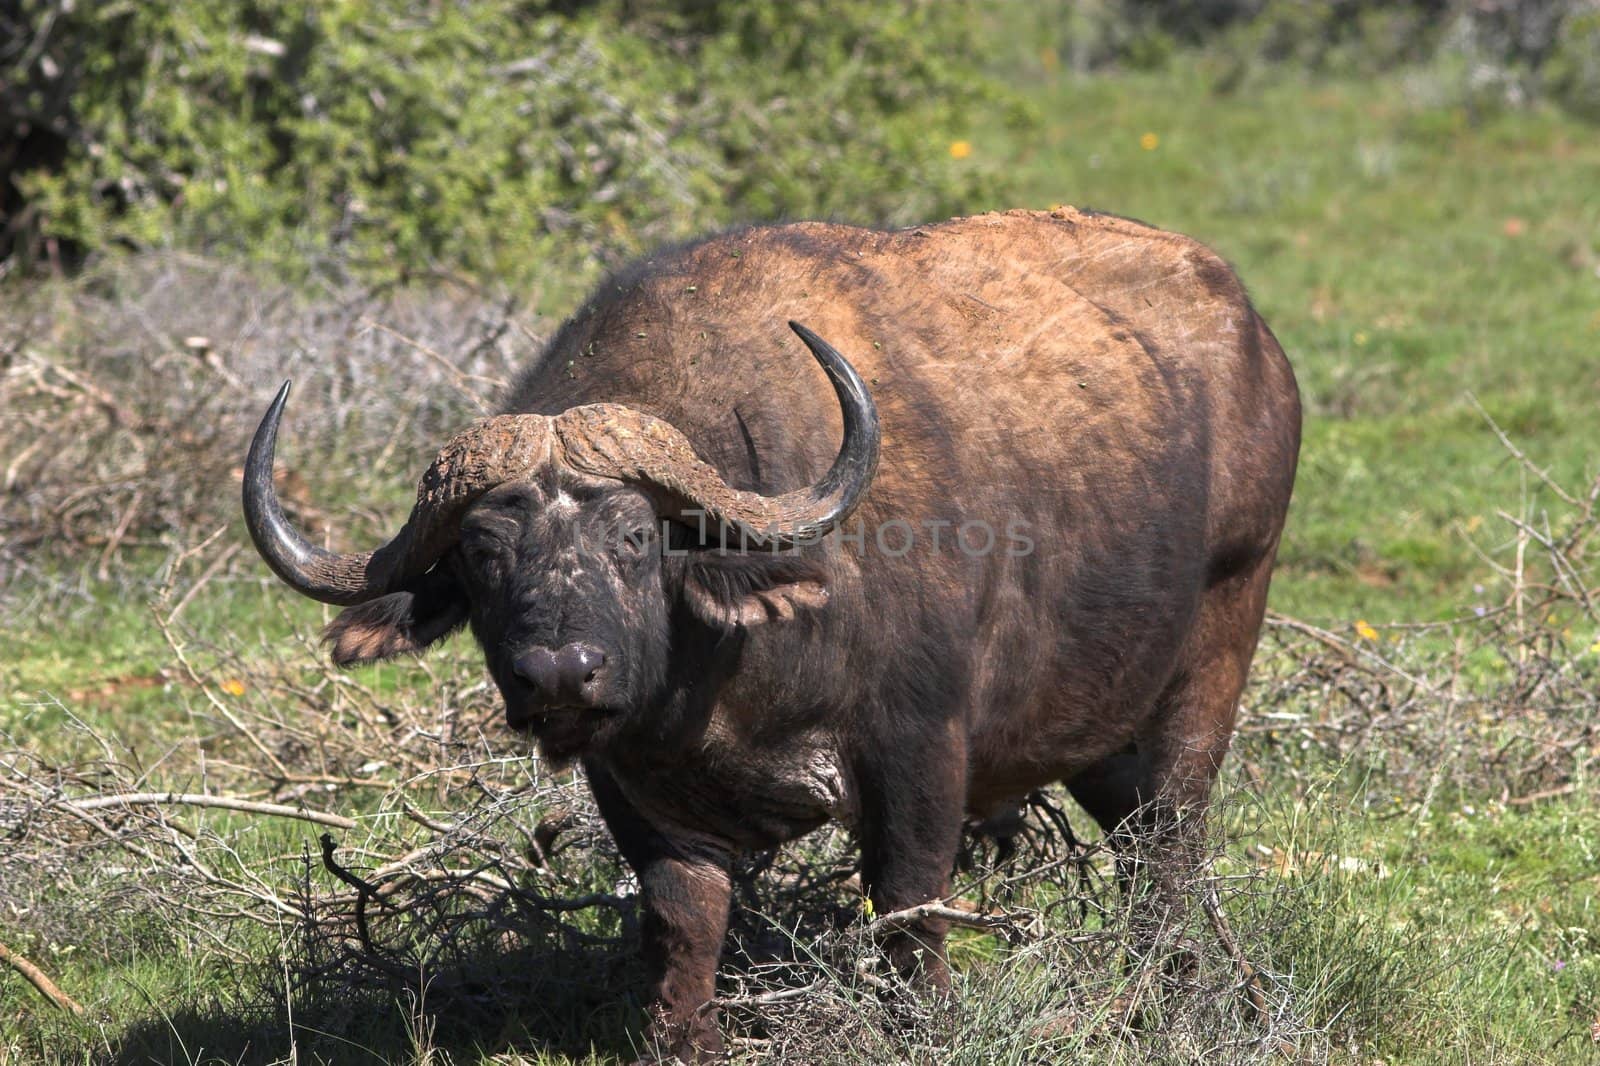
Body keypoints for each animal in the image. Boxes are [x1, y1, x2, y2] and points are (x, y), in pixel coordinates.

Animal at [246, 204, 1299, 1056]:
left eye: (636, 536)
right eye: (479, 553)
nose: (559, 674)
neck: (728, 670)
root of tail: (1255, 336)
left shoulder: (920, 748)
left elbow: (909, 905)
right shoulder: (637, 786)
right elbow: (682, 922)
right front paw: (687, 1038)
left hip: (1216, 644)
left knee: (1171, 837)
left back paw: (1174, 995)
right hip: (1097, 721)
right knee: (1136, 838)